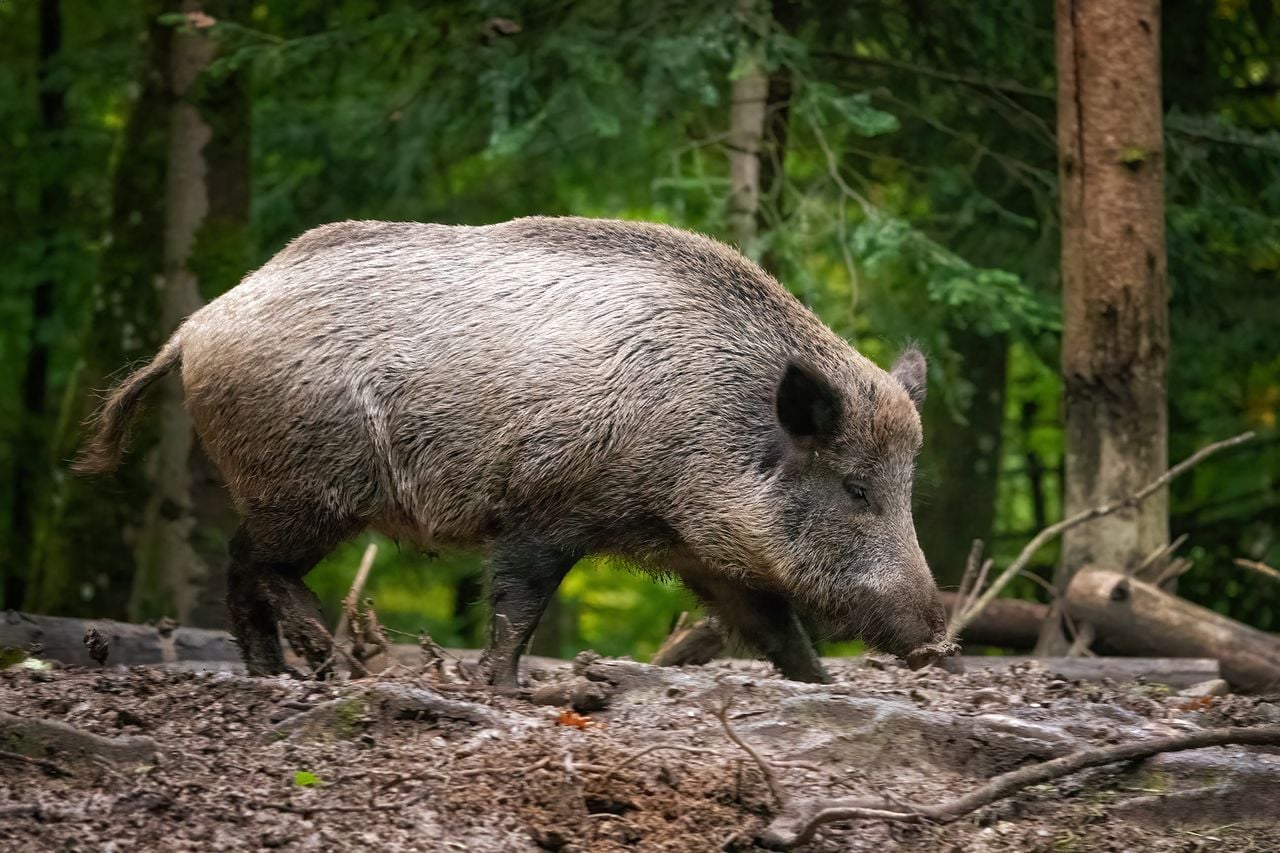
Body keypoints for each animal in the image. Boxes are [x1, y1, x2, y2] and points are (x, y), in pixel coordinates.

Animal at [76, 216, 957, 685]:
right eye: (854, 488)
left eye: (907, 488)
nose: (937, 639)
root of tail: (197, 325)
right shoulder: (544, 508)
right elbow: (517, 607)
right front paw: (504, 688)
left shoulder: (709, 555)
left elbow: (776, 629)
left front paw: (824, 684)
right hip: (303, 491)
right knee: (251, 562)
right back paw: (326, 662)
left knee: (246, 570)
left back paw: (280, 672)